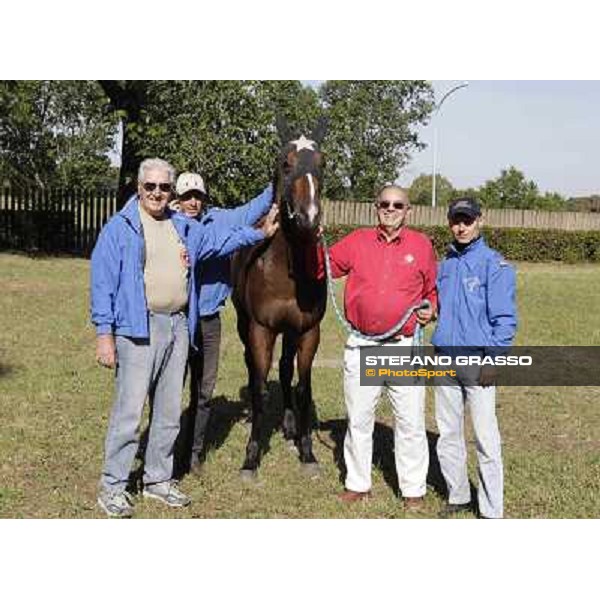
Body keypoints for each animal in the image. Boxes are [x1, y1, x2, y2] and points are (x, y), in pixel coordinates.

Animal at [232, 119, 328, 480]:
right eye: (286, 164)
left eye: (322, 164)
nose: (308, 218)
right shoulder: (261, 329)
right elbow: (260, 388)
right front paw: (251, 458)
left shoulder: (307, 331)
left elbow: (302, 387)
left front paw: (307, 453)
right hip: (244, 324)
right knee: (252, 368)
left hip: (289, 331)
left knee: (285, 370)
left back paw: (288, 425)